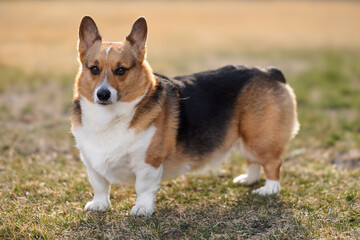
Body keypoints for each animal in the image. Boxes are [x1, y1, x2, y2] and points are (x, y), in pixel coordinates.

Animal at [71, 15, 300, 217]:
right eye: (94, 69)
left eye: (121, 70)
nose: (102, 94)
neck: (109, 117)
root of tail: (270, 71)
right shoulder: (91, 162)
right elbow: (100, 185)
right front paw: (99, 205)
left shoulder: (148, 162)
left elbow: (143, 188)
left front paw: (142, 209)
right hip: (247, 136)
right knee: (253, 160)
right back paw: (248, 180)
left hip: (260, 136)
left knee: (272, 162)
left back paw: (269, 190)